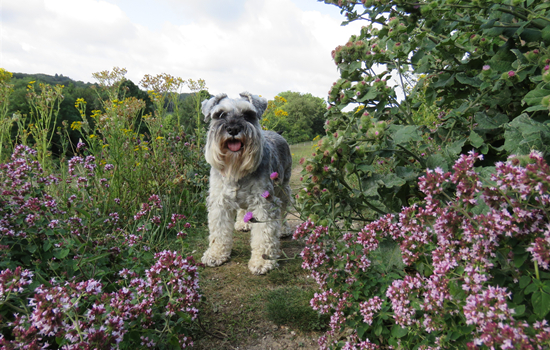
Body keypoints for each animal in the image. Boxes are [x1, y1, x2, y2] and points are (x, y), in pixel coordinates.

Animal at [202, 91, 294, 274]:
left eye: (248, 115)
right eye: (219, 114)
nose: (233, 129)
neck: (236, 168)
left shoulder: (263, 202)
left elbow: (264, 234)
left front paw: (262, 262)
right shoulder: (219, 202)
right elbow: (218, 231)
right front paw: (216, 254)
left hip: (283, 188)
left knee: (283, 211)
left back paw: (284, 229)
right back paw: (241, 223)